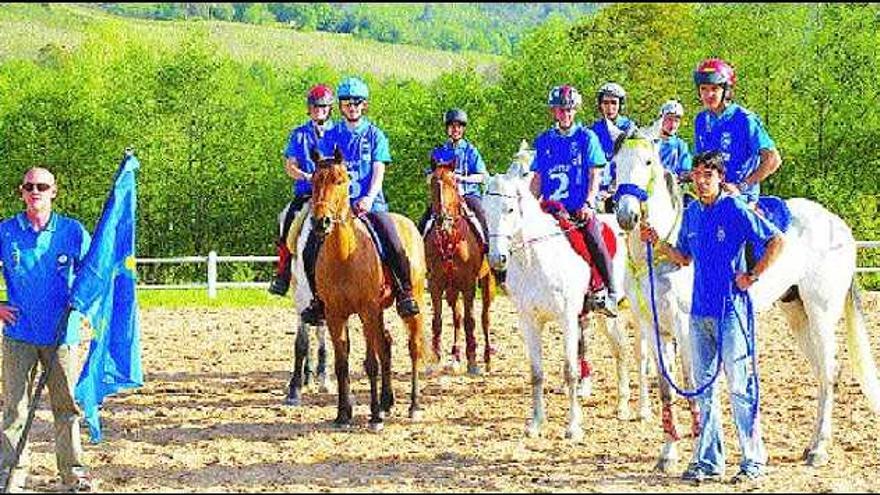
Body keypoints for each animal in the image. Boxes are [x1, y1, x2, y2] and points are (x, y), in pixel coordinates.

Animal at [312, 149, 428, 432]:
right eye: (313, 181)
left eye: (340, 181)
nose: (322, 222)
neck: (345, 256)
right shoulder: (335, 315)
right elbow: (342, 363)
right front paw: (343, 415)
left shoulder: (366, 310)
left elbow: (371, 363)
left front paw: (374, 417)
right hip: (377, 312)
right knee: (385, 344)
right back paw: (387, 402)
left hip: (410, 305)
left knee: (413, 347)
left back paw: (413, 406)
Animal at [424, 165, 496, 374]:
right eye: (432, 184)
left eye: (454, 183)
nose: (442, 219)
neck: (449, 237)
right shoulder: (435, 283)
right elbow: (438, 321)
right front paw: (436, 359)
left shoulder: (468, 284)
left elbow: (470, 321)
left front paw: (472, 361)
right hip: (452, 288)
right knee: (456, 317)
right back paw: (455, 356)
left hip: (486, 281)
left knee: (484, 318)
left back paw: (487, 358)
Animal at [482, 147, 632, 442]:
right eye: (485, 210)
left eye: (510, 209)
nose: (497, 258)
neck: (535, 259)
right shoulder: (529, 321)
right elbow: (537, 373)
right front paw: (536, 423)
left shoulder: (567, 318)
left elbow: (570, 371)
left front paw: (573, 426)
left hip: (613, 314)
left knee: (623, 349)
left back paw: (624, 407)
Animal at [612, 122, 880, 466]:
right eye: (615, 164)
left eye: (647, 162)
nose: (626, 215)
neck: (660, 253)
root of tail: (838, 226)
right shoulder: (653, 328)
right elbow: (666, 389)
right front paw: (668, 453)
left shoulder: (686, 326)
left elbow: (693, 384)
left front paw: (697, 453)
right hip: (797, 314)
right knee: (821, 372)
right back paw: (811, 446)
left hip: (821, 313)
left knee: (830, 370)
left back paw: (820, 448)